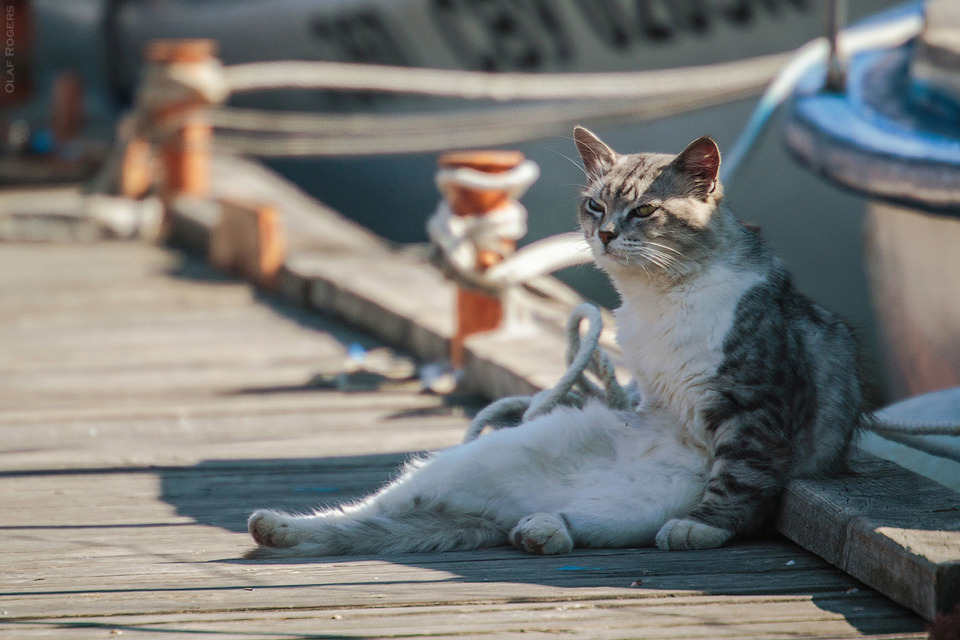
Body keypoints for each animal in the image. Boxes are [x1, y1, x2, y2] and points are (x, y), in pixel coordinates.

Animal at [246, 127, 864, 556]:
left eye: (645, 209)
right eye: (595, 205)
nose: (606, 233)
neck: (658, 296)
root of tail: (492, 513)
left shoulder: (754, 404)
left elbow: (739, 477)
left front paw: (702, 529)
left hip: (631, 509)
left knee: (573, 523)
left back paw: (542, 529)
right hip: (480, 459)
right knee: (367, 510)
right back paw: (278, 526)